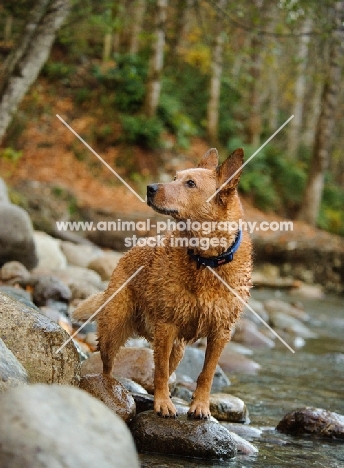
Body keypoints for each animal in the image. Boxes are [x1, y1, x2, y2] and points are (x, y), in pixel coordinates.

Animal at [73, 148, 250, 418]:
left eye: (190, 183)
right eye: (175, 177)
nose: (150, 187)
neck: (205, 261)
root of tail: (127, 253)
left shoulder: (221, 332)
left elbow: (207, 373)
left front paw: (200, 406)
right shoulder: (167, 325)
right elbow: (161, 372)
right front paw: (163, 404)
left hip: (178, 348)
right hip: (114, 326)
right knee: (106, 363)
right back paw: (109, 389)